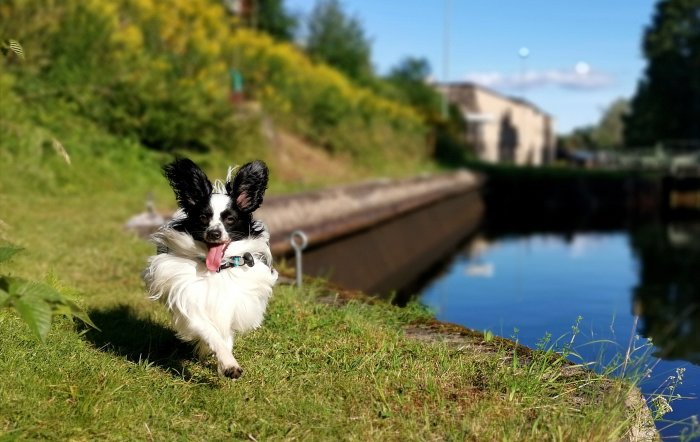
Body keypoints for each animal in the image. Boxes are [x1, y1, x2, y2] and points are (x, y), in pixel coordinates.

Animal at [144, 157, 278, 378]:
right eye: (203, 218)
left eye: (230, 219)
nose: (214, 233)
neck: (218, 269)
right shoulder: (191, 303)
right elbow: (211, 333)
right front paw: (228, 364)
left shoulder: (232, 305)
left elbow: (226, 336)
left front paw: (221, 360)